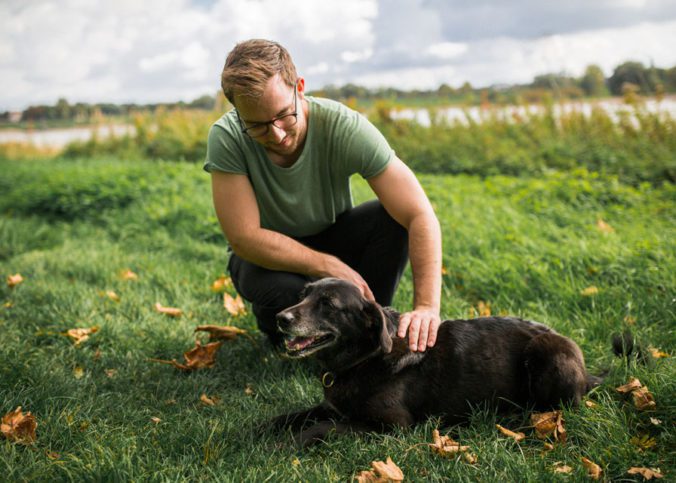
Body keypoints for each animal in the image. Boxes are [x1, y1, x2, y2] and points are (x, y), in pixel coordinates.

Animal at [272, 278, 600, 444]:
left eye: (327, 303)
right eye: (303, 295)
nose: (281, 318)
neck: (366, 358)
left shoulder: (393, 426)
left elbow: (324, 427)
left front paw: (288, 443)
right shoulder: (330, 407)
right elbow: (289, 417)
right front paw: (265, 431)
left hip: (545, 350)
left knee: (556, 409)